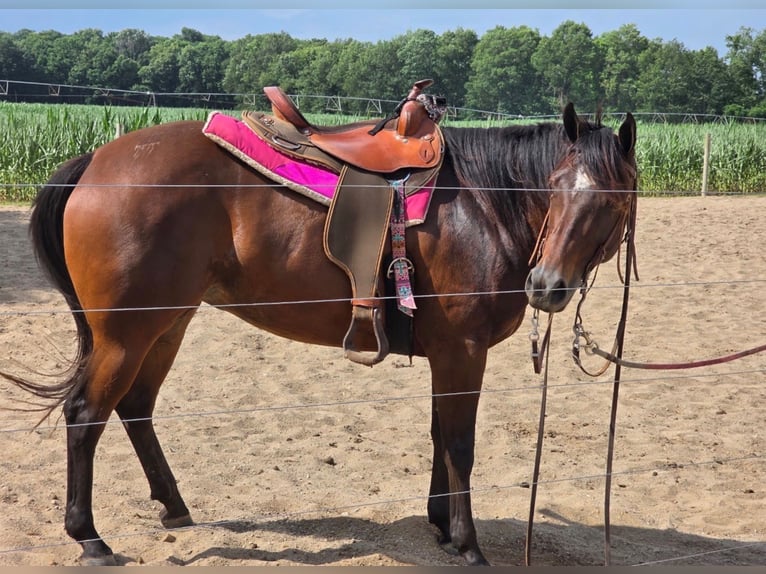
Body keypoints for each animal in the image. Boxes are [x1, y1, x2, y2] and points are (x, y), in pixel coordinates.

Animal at [2, 102, 637, 566]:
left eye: (611, 200)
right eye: (556, 187)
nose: (546, 285)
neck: (482, 205)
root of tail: (96, 161)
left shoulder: (447, 354)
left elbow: (439, 436)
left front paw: (439, 525)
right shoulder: (463, 350)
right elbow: (460, 444)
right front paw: (467, 543)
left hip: (167, 324)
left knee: (135, 407)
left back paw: (174, 507)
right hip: (126, 335)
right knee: (85, 416)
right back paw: (89, 538)